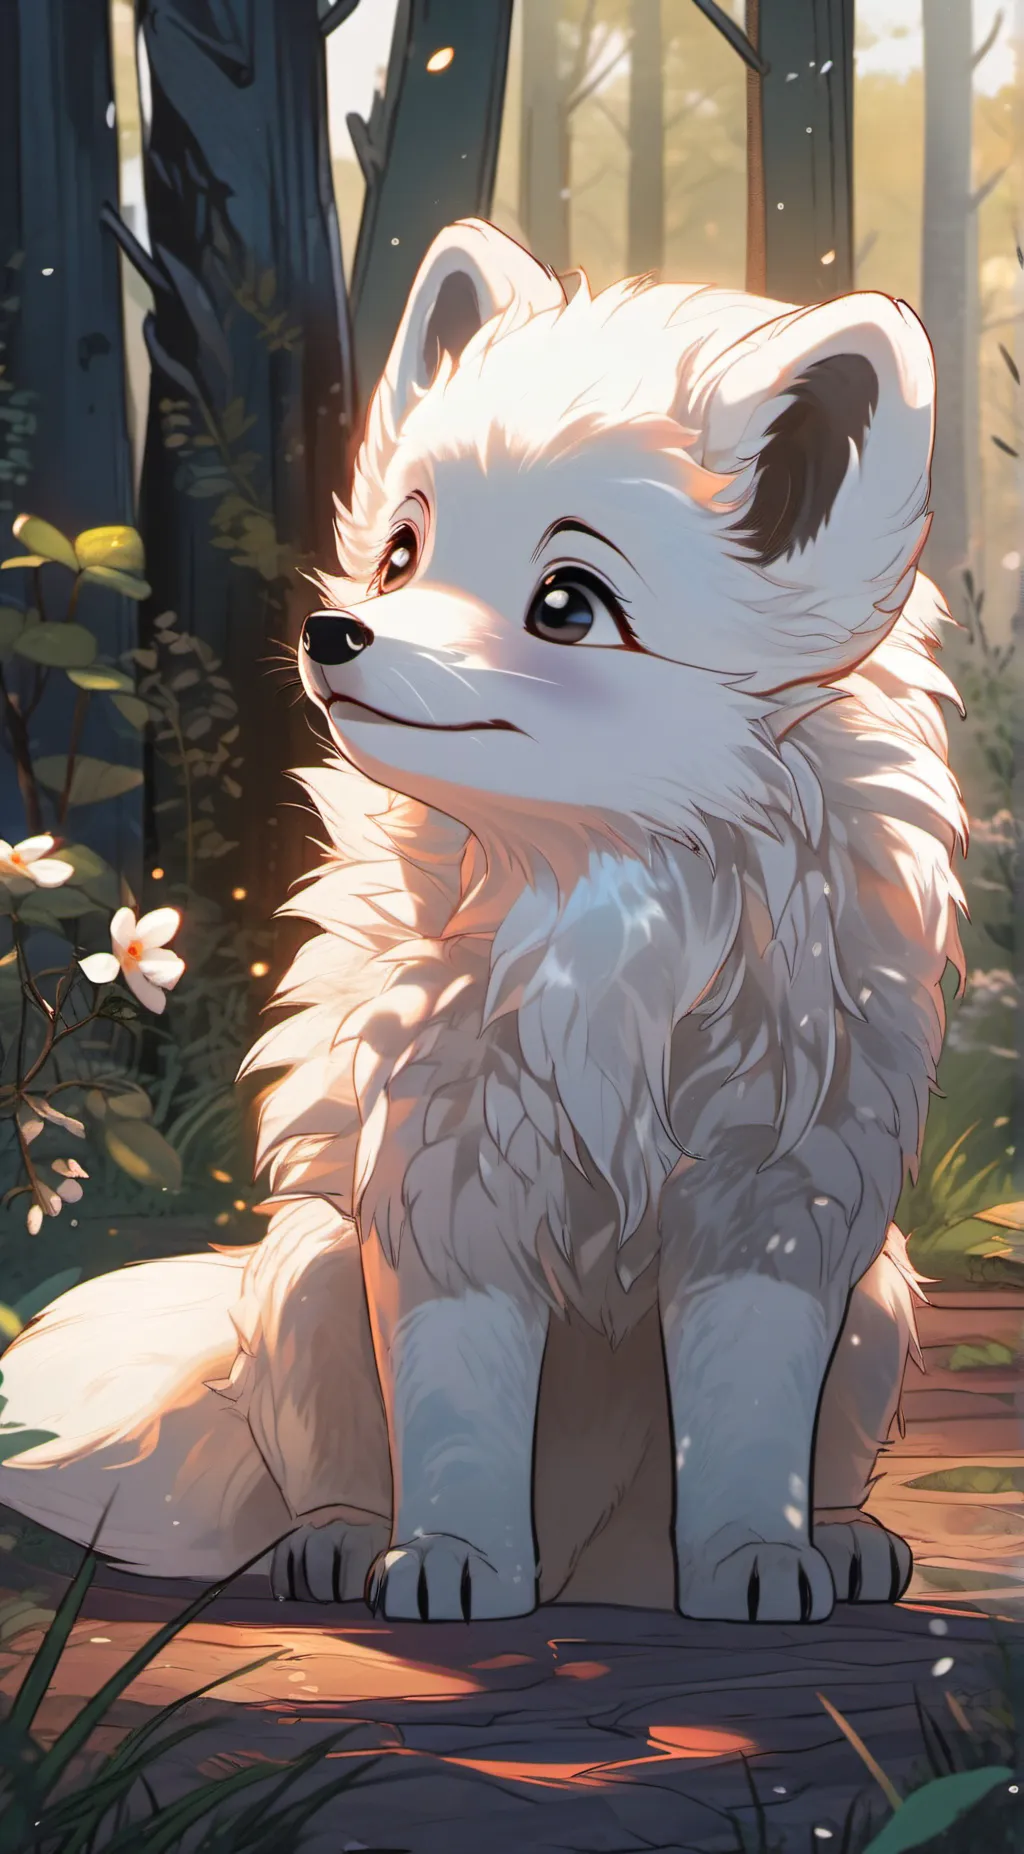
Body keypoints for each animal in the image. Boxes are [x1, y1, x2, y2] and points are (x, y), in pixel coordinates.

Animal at [0, 220, 966, 1625]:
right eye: (402, 555)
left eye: (567, 602)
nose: (332, 630)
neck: (598, 916)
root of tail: (596, 1573)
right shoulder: (441, 1191)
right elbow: (456, 1417)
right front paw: (451, 1561)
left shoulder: (768, 1214)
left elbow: (746, 1429)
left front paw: (752, 1559)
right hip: (305, 1271)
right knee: (335, 1471)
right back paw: (339, 1544)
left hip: (881, 1292)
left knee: (823, 1457)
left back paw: (835, 1541)